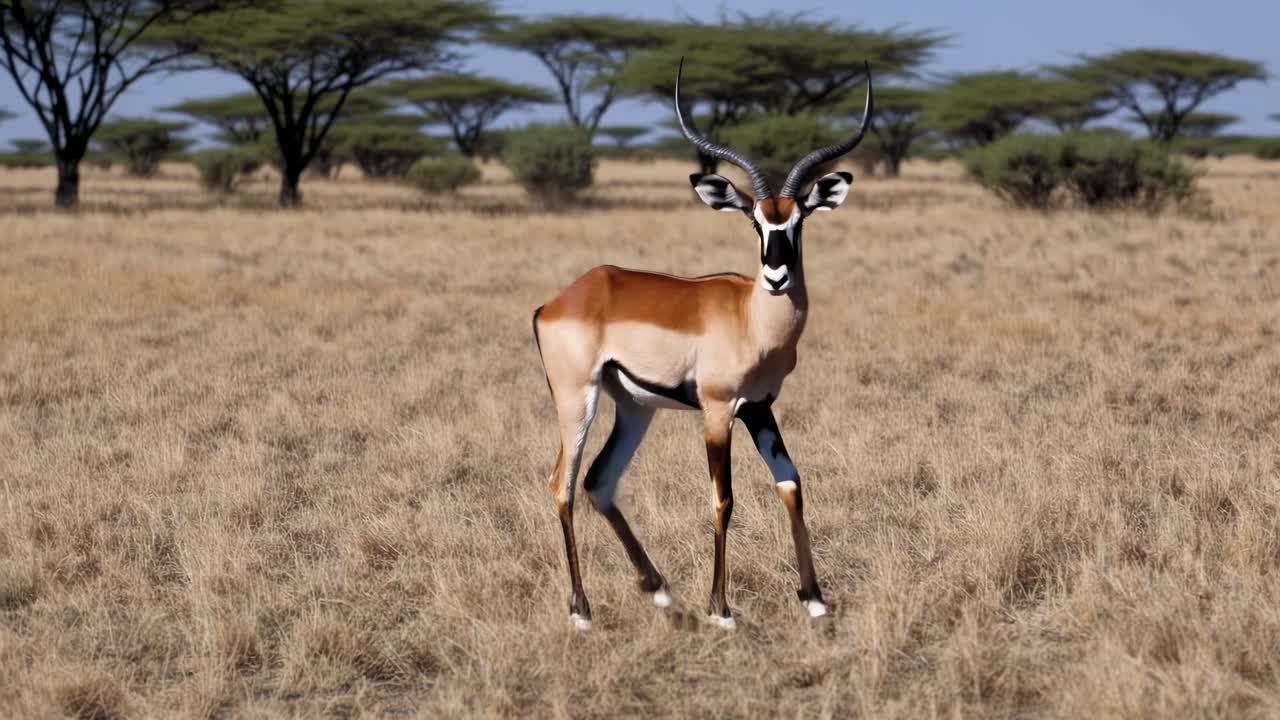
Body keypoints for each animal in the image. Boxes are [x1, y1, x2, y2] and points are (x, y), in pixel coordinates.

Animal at [532, 59, 873, 630]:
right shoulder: (717, 410)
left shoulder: (759, 407)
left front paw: (815, 600)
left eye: (797, 219)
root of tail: (564, 298)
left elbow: (791, 483)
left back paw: (661, 593)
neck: (751, 318)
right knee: (563, 483)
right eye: (755, 219)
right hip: (578, 399)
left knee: (599, 480)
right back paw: (581, 610)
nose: (777, 276)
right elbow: (723, 498)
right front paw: (722, 610)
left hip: (634, 407)